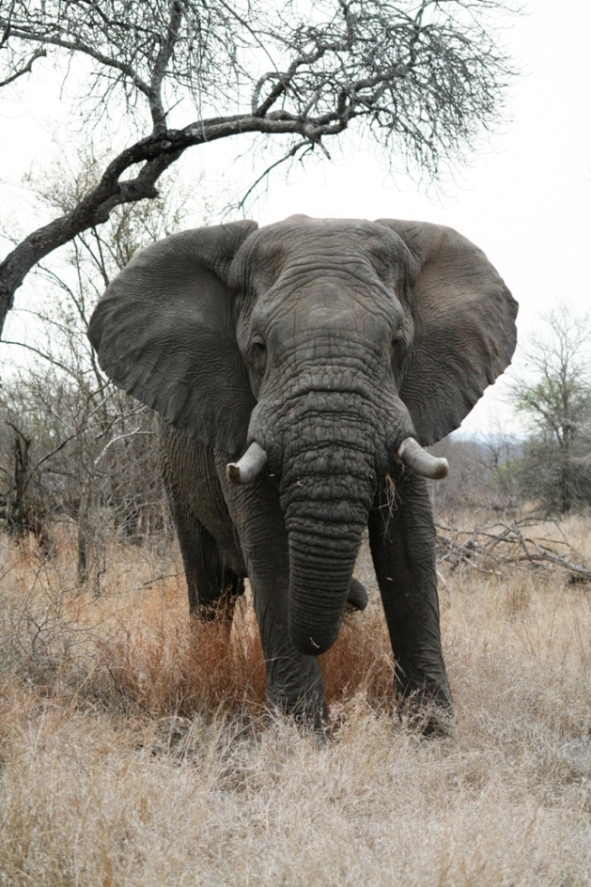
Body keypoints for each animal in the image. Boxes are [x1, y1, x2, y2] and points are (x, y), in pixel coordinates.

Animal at [88, 214, 517, 732]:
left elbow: (409, 546)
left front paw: (432, 731)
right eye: (258, 348)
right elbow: (271, 547)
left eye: (397, 344)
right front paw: (305, 734)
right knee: (209, 588)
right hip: (173, 472)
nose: (352, 602)